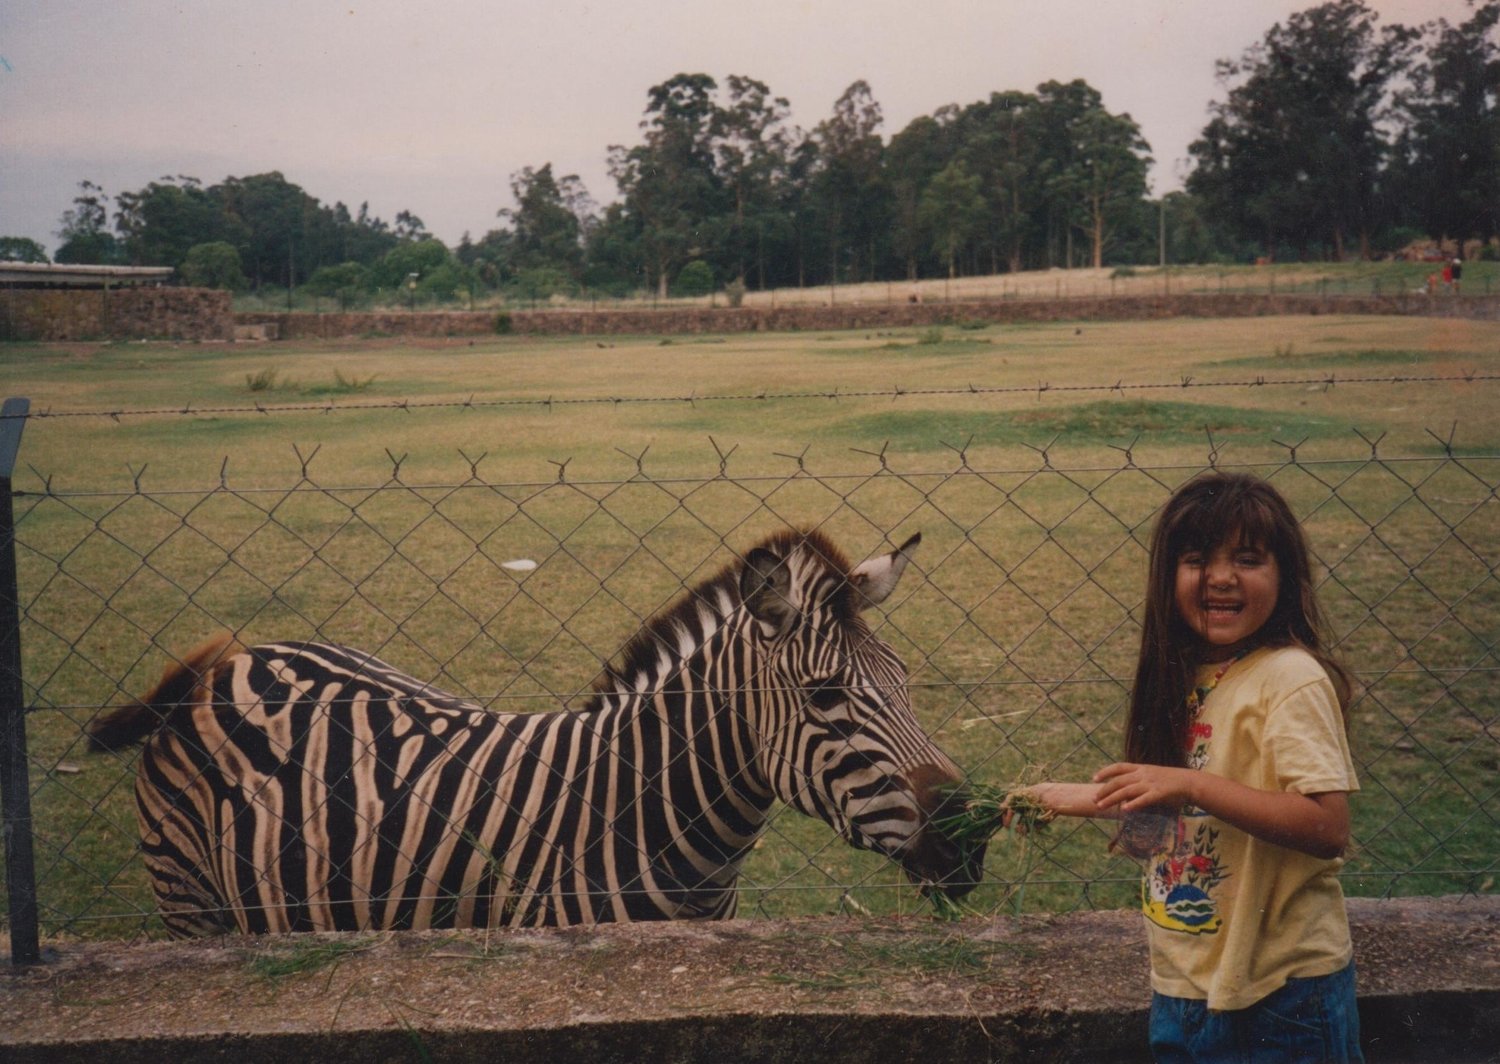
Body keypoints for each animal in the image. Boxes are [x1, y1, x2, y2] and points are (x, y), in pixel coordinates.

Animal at [90, 528, 984, 936]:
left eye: (906, 681)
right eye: (827, 695)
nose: (973, 834)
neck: (643, 814)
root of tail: (230, 661)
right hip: (190, 903)